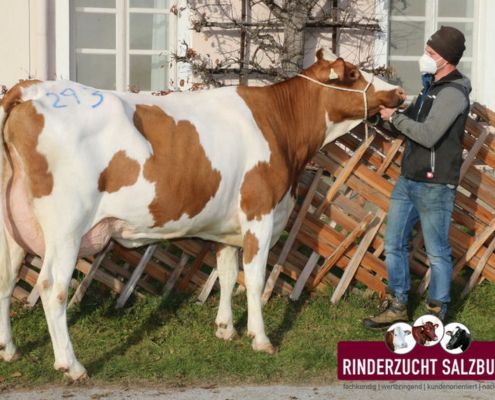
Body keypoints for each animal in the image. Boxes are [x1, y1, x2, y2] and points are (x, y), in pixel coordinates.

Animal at [0, 48, 404, 380]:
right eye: (352, 73)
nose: (400, 93)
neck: (281, 126)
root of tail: (31, 90)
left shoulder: (227, 229)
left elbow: (225, 274)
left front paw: (226, 330)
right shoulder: (259, 215)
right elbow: (253, 279)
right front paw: (261, 339)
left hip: (12, 227)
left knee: (7, 280)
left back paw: (10, 351)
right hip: (66, 226)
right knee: (52, 287)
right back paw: (71, 365)